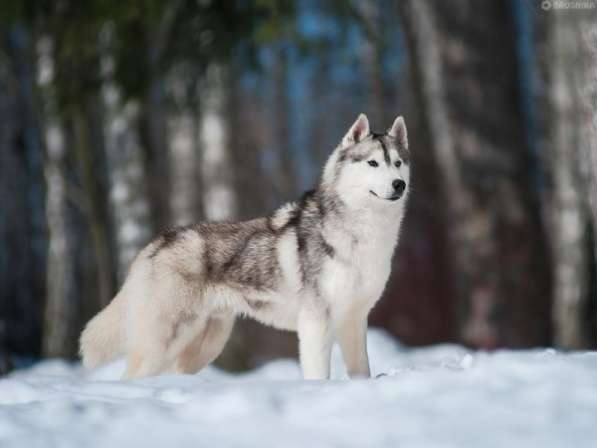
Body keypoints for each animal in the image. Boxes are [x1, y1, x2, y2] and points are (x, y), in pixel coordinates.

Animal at [79, 114, 410, 380]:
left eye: (398, 163)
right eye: (372, 163)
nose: (399, 184)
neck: (364, 233)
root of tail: (157, 241)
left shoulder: (354, 321)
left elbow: (362, 372)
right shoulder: (315, 323)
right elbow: (318, 375)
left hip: (205, 344)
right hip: (165, 341)